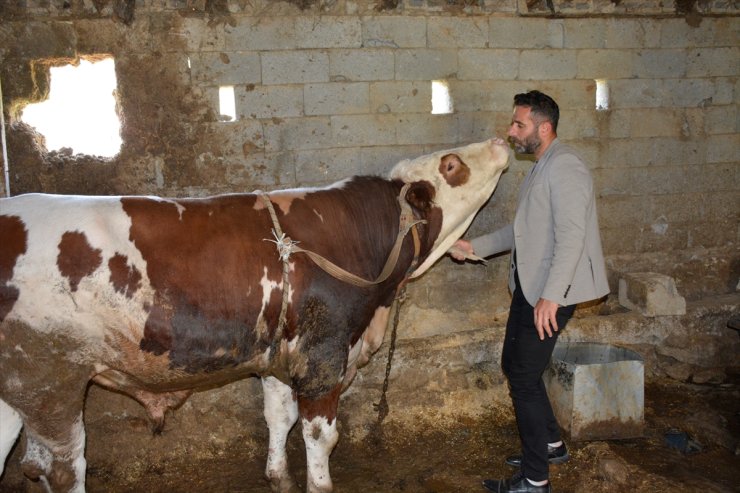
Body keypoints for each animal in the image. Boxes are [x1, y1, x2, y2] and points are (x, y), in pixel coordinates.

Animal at [0, 138, 508, 492]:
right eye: (451, 165)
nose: (502, 140)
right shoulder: (323, 353)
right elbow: (320, 435)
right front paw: (319, 483)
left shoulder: (279, 356)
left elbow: (278, 417)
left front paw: (278, 476)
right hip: (51, 383)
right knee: (61, 468)